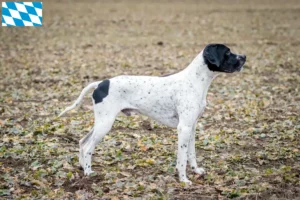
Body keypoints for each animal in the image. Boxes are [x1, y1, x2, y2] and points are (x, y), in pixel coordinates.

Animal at [58, 43, 246, 184]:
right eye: (227, 52)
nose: (244, 57)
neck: (195, 81)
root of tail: (101, 83)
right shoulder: (183, 128)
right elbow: (182, 158)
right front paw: (183, 179)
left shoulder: (191, 127)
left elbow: (191, 154)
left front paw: (196, 170)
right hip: (105, 124)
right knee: (88, 147)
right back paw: (89, 173)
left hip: (101, 123)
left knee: (82, 142)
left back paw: (82, 167)